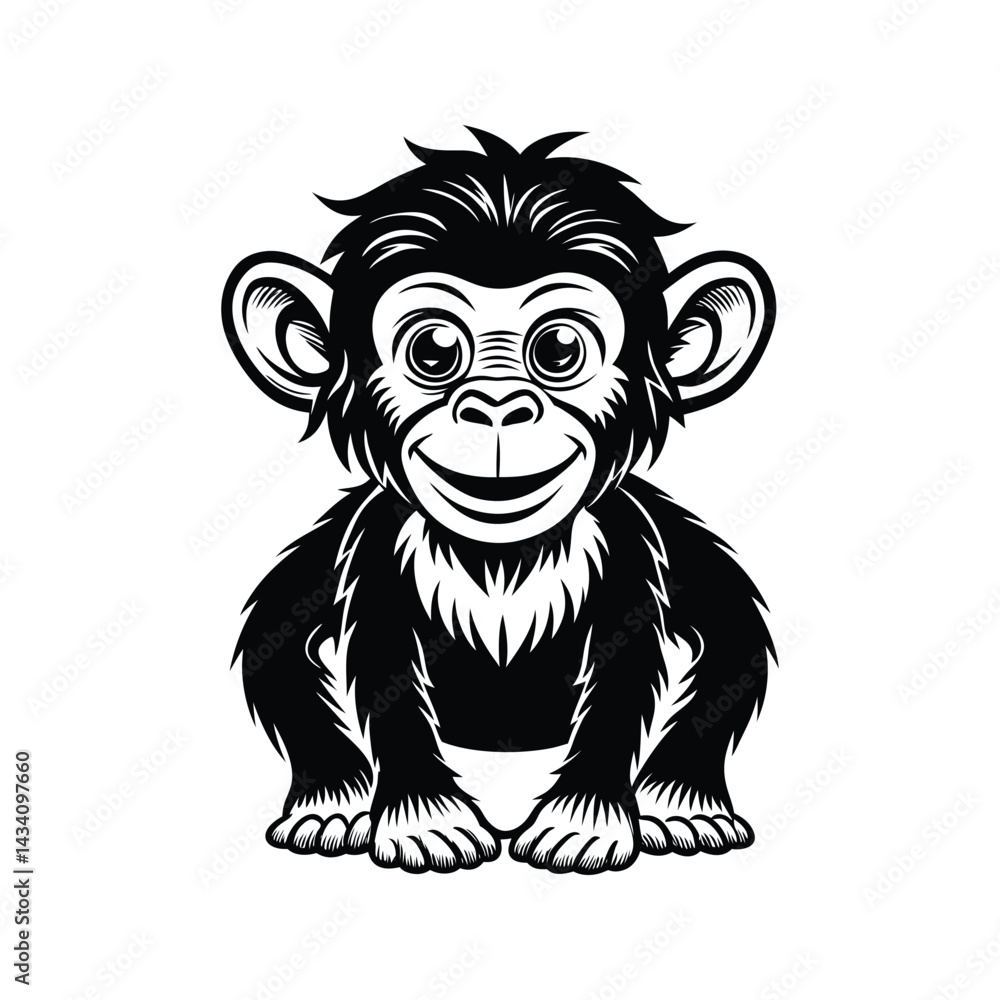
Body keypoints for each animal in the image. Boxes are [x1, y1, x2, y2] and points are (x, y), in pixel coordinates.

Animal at [222, 129, 776, 874]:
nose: (496, 406)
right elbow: (317, 648)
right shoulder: (367, 540)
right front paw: (424, 819)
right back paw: (330, 804)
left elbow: (686, 647)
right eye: (433, 350)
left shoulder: (638, 537)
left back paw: (683, 805)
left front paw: (585, 821)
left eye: (560, 349)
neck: (502, 554)